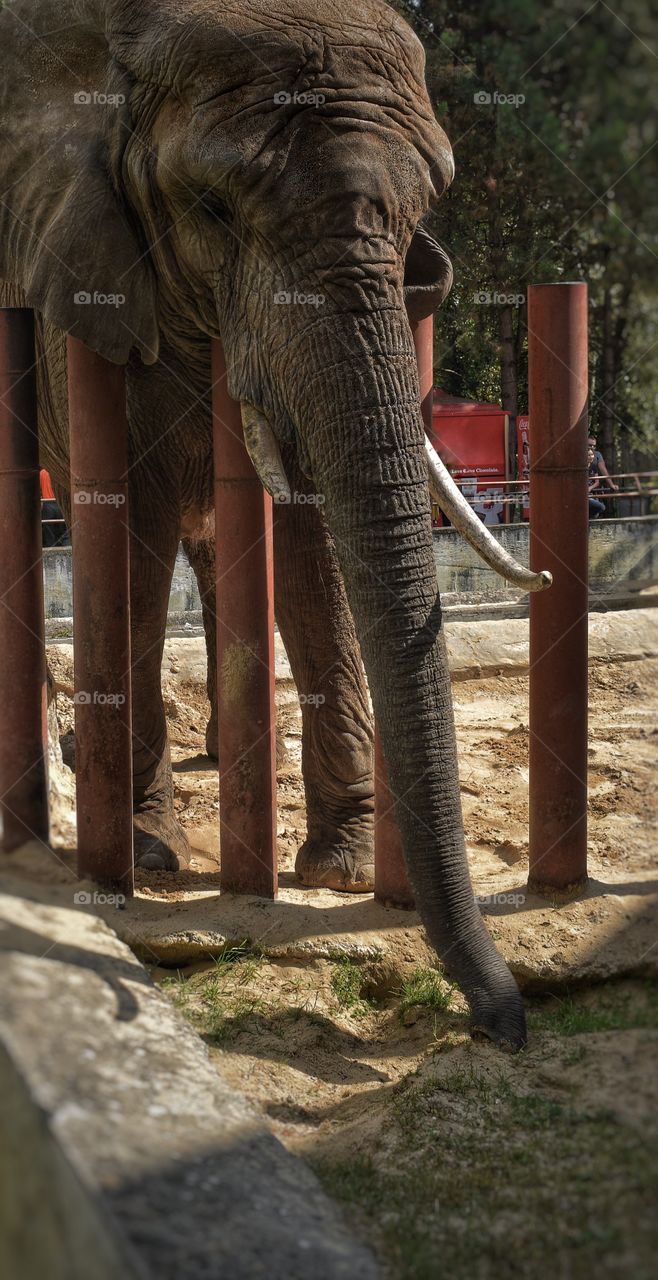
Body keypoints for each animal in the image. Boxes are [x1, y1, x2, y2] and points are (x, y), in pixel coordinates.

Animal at [0, 0, 550, 1049]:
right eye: (213, 211)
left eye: (424, 211)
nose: (505, 1027)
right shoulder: (89, 291)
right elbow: (131, 533)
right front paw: (152, 853)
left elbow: (311, 538)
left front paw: (341, 869)